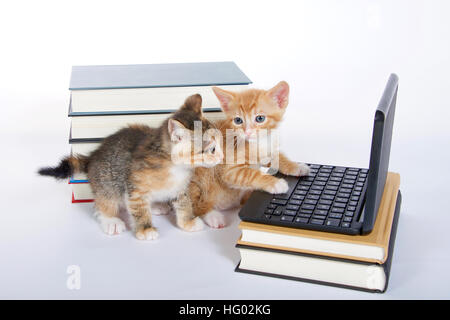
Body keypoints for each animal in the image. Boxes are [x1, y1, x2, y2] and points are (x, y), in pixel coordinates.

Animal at [39, 95, 222, 240]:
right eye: (211, 149)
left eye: (219, 142)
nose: (221, 157)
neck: (176, 167)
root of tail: (93, 156)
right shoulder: (135, 187)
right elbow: (139, 209)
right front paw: (145, 229)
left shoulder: (180, 188)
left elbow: (184, 203)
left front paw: (187, 222)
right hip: (106, 182)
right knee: (103, 202)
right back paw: (111, 220)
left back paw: (156, 205)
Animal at [188, 82, 312, 228]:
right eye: (238, 120)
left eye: (260, 118)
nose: (247, 132)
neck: (257, 142)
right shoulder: (230, 170)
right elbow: (251, 174)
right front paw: (276, 183)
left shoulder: (267, 149)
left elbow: (278, 157)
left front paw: (296, 166)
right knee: (196, 204)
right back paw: (212, 216)